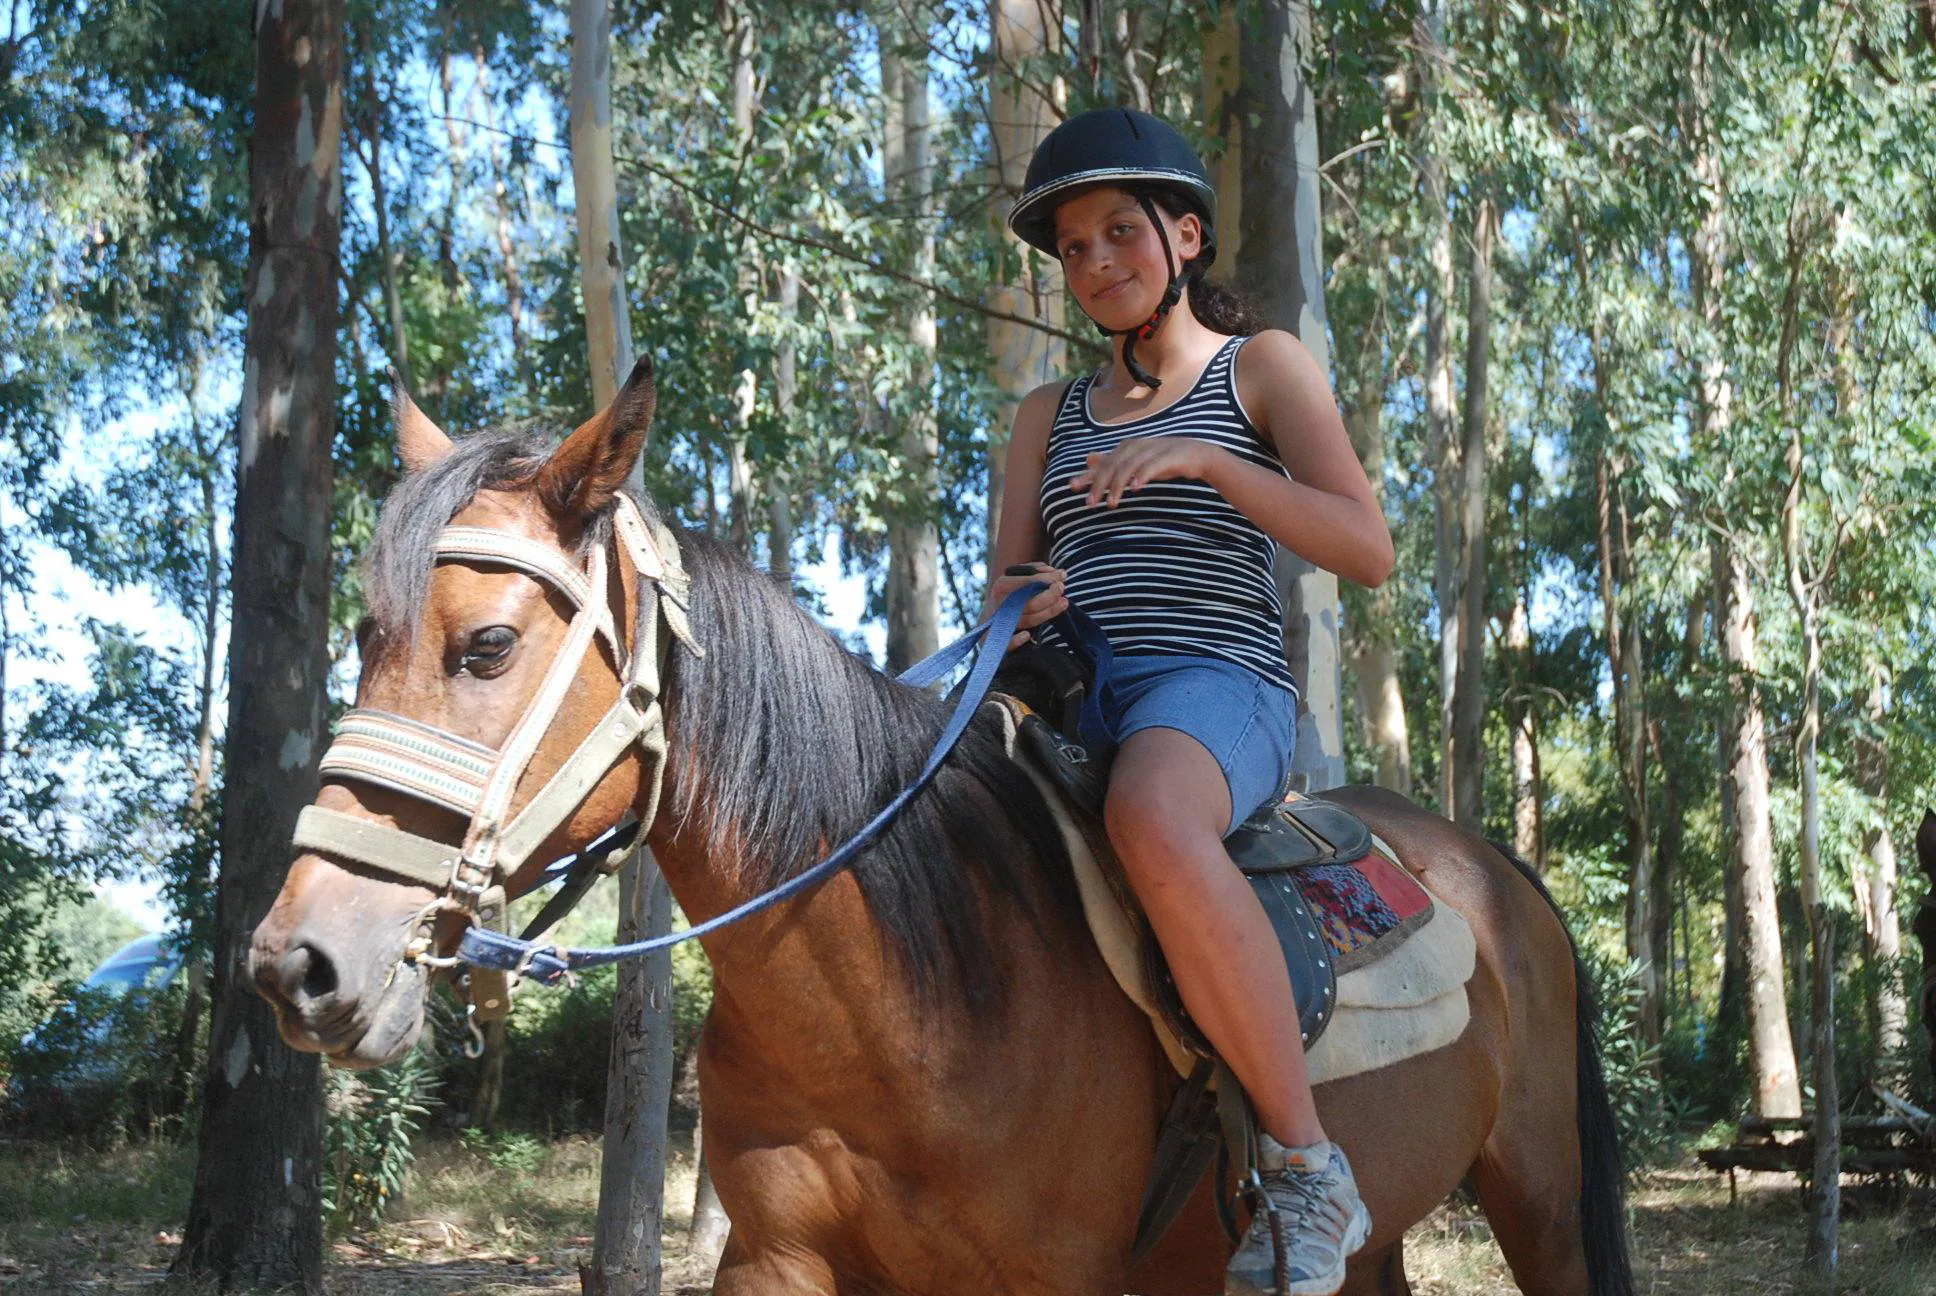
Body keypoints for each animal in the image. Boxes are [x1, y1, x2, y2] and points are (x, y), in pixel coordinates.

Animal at [245, 366, 1633, 1294]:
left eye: (485, 647)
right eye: (365, 639)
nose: (295, 963)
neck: (889, 1009)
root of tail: (1502, 875)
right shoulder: (777, 1261)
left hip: (1542, 1197)